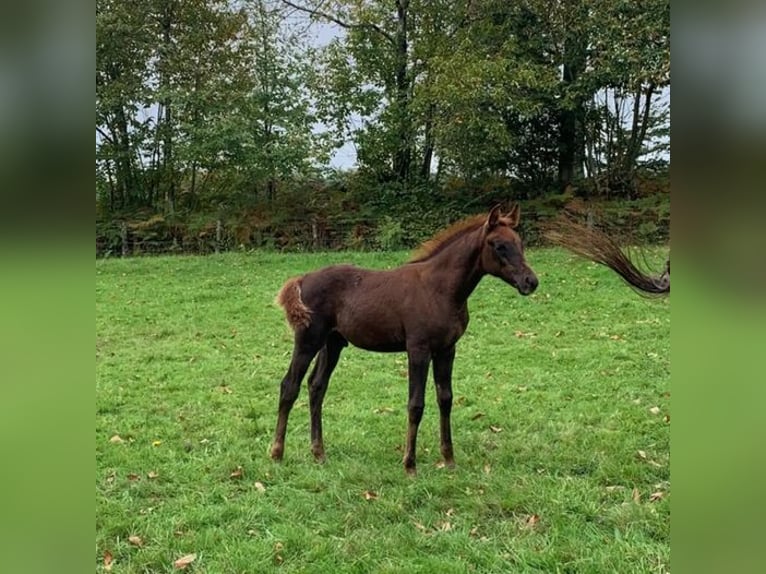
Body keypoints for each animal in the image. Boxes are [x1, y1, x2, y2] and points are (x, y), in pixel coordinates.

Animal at [270, 204, 539, 475]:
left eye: (519, 243)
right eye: (498, 245)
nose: (531, 282)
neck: (439, 289)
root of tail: (302, 279)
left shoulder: (447, 349)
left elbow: (446, 399)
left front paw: (449, 459)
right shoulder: (418, 349)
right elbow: (416, 404)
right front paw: (410, 464)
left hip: (332, 343)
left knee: (317, 386)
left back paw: (318, 453)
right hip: (308, 340)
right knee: (289, 385)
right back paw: (277, 453)